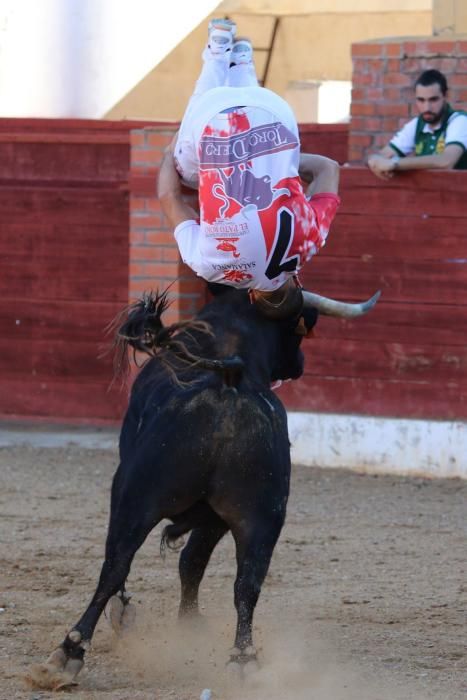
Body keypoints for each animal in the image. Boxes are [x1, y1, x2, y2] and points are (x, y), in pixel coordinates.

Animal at [26, 284, 376, 688]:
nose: (300, 362)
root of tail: (228, 384)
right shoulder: (215, 517)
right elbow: (193, 563)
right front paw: (190, 626)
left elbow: (137, 567)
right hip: (261, 514)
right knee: (245, 583)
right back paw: (243, 658)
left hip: (135, 497)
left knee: (114, 565)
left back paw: (69, 652)